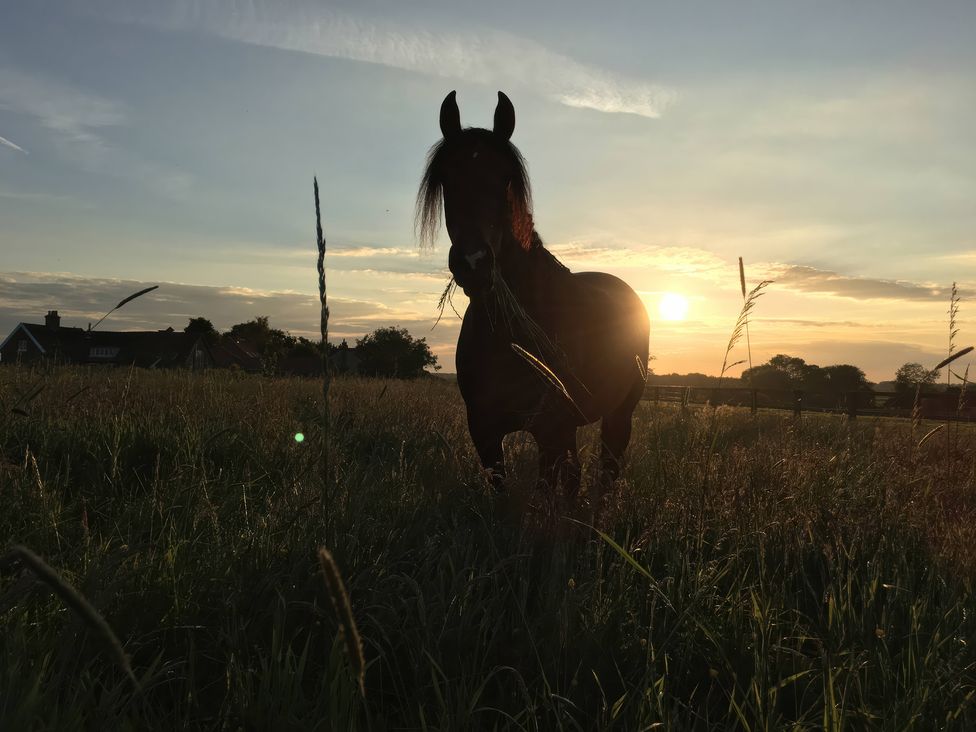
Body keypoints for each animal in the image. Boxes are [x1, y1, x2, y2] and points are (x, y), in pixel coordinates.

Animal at [417, 90, 650, 497]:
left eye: (505, 179)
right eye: (446, 177)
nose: (473, 263)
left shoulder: (551, 429)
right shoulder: (485, 432)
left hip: (618, 414)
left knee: (605, 470)